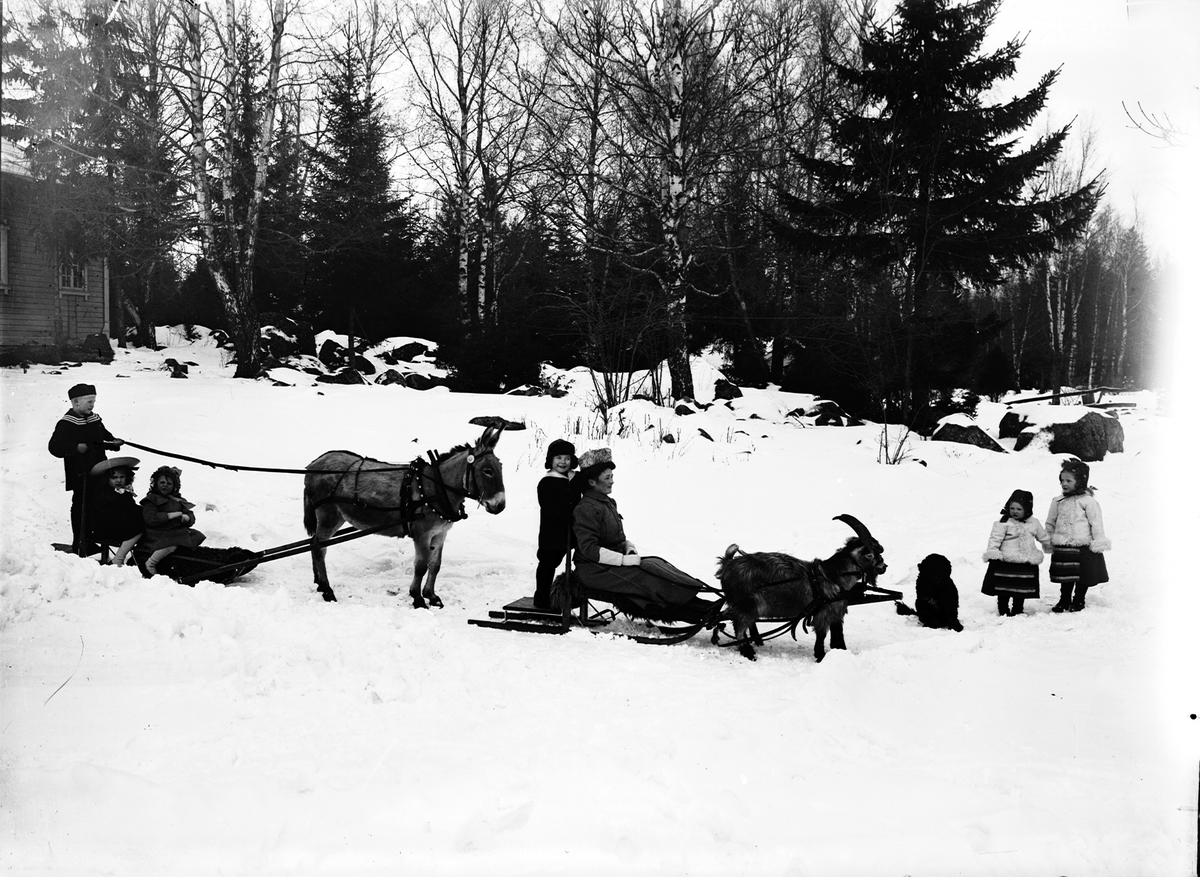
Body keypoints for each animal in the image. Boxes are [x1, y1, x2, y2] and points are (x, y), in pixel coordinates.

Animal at [302, 426, 506, 607]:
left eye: (500, 467)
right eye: (487, 471)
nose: (500, 505)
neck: (435, 488)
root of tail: (313, 465)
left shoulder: (440, 534)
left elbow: (435, 565)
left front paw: (431, 596)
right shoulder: (422, 535)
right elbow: (421, 566)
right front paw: (417, 598)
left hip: (335, 517)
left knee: (314, 544)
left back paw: (319, 583)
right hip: (329, 516)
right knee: (319, 548)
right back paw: (327, 590)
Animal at [715, 515, 886, 662]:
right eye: (869, 555)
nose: (884, 566)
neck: (832, 576)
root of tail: (727, 564)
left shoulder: (836, 612)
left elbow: (837, 635)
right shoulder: (823, 613)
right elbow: (821, 636)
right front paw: (820, 656)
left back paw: (756, 641)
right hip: (745, 604)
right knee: (739, 628)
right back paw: (749, 653)